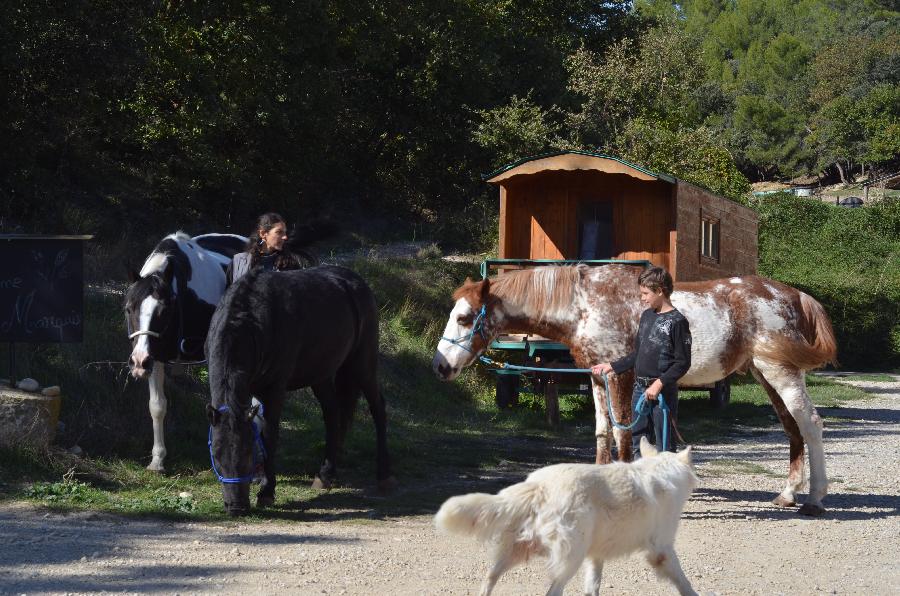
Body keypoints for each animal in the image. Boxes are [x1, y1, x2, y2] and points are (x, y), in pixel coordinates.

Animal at [125, 232, 246, 470]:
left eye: (164, 310)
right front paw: (157, 460)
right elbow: (157, 406)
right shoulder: (156, 357)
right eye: (128, 308)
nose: (138, 361)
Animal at [206, 266, 392, 516]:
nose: (237, 508)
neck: (252, 317)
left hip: (363, 365)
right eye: (216, 454)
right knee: (332, 414)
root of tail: (355, 282)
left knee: (378, 409)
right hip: (321, 375)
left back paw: (384, 476)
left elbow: (269, 435)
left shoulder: (274, 389)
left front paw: (266, 492)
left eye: (247, 452)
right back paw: (325, 474)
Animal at [432, 266, 840, 516]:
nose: (440, 366)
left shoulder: (620, 378)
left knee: (810, 424)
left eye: (464, 318)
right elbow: (602, 433)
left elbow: (623, 435)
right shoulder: (598, 376)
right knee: (791, 427)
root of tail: (794, 294)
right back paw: (788, 494)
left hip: (780, 371)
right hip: (765, 373)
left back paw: (815, 500)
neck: (585, 304)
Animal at [432, 438, 700, 596]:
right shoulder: (662, 550)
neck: (662, 471)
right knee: (553, 591)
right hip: (570, 560)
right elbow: (684, 582)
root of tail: (538, 485)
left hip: (515, 554)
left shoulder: (595, 556)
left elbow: (593, 587)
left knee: (489, 580)